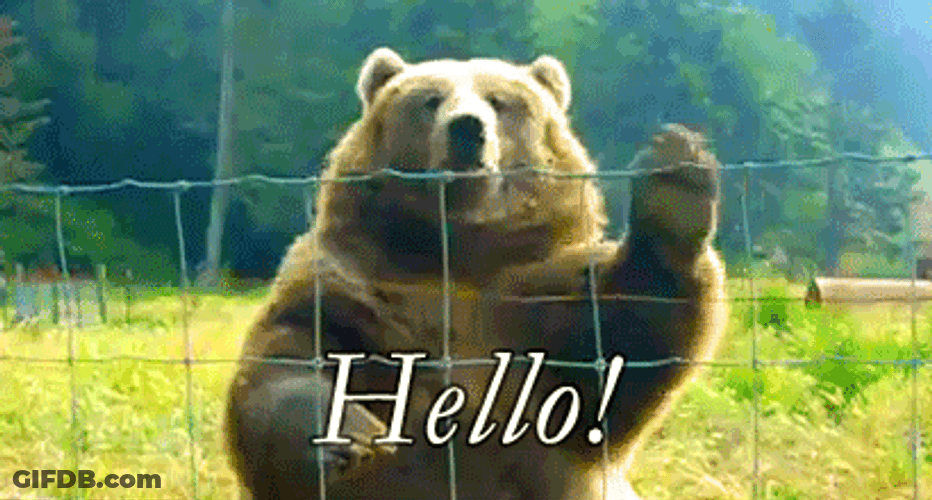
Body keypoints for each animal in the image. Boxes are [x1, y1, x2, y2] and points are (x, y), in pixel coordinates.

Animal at [225, 46, 727, 500]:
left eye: (499, 101)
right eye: (430, 99)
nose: (467, 127)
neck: (457, 253)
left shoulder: (540, 302)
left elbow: (626, 343)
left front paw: (675, 181)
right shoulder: (351, 291)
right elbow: (284, 363)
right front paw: (345, 436)